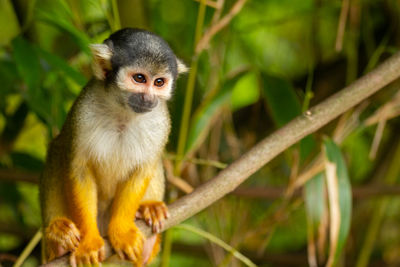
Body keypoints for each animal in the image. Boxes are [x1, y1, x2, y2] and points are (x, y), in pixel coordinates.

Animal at [39, 28, 188, 266]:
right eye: (139, 78)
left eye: (159, 82)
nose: (148, 98)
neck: (123, 111)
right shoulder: (84, 112)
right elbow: (79, 169)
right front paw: (89, 242)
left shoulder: (161, 120)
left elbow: (143, 169)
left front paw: (122, 231)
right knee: (58, 149)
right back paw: (59, 238)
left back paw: (149, 218)